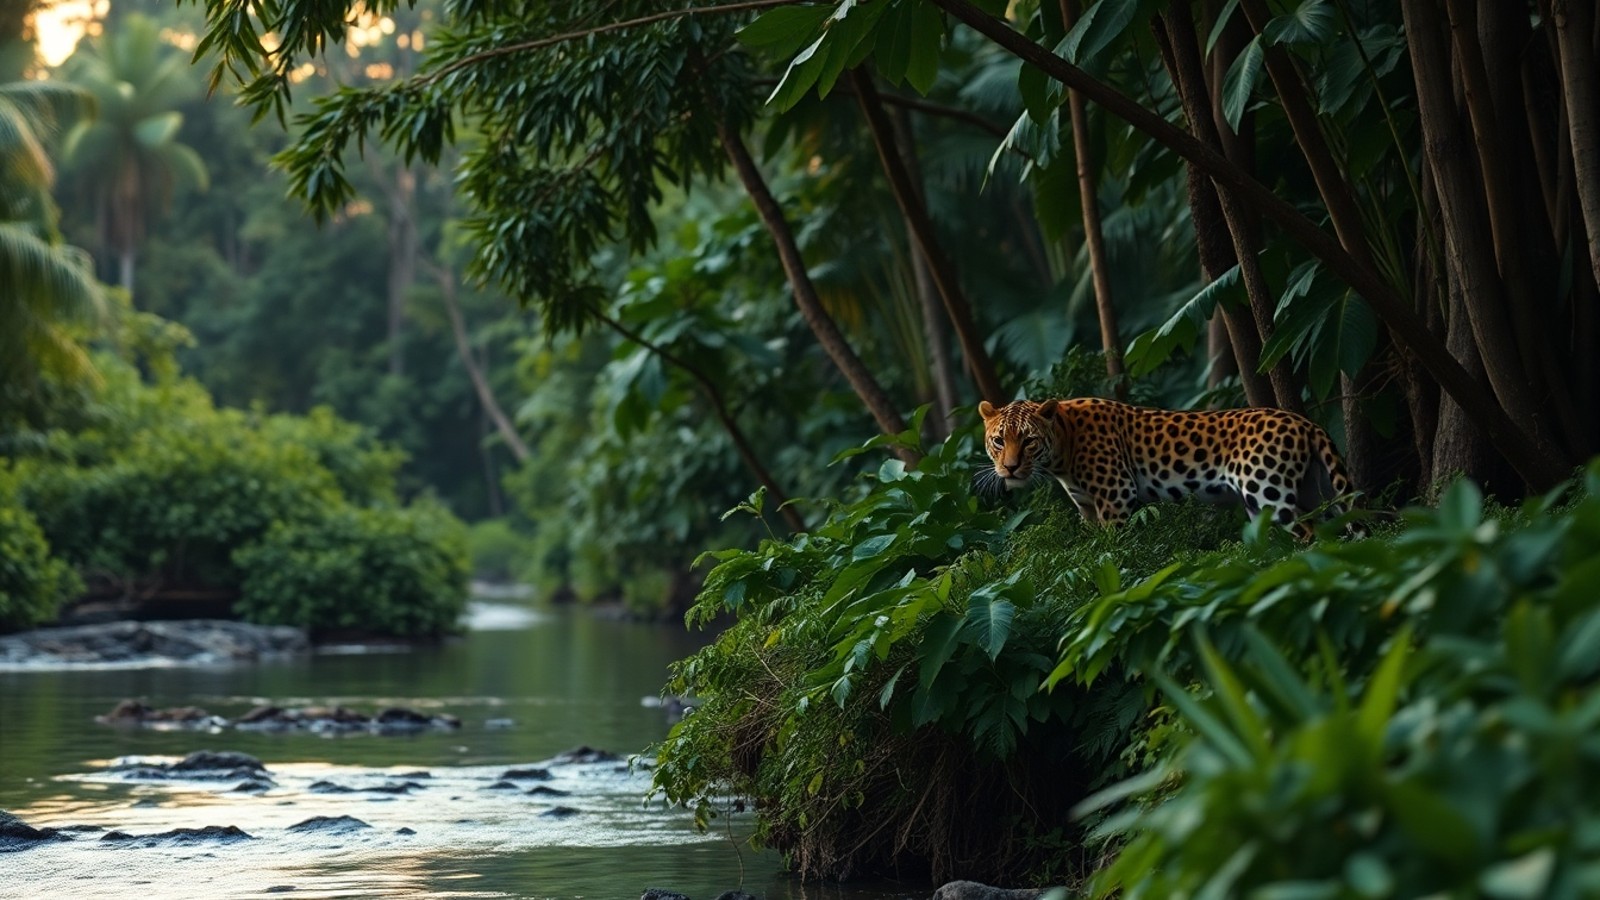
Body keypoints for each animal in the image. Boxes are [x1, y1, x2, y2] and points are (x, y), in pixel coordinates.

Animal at [978, 397, 1358, 536]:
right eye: (998, 441)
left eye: (1028, 440)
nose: (1010, 468)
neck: (1063, 446)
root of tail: (1304, 422)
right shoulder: (1087, 506)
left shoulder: (1116, 495)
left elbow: (1112, 546)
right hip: (1313, 492)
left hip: (1268, 494)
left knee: (1310, 534)